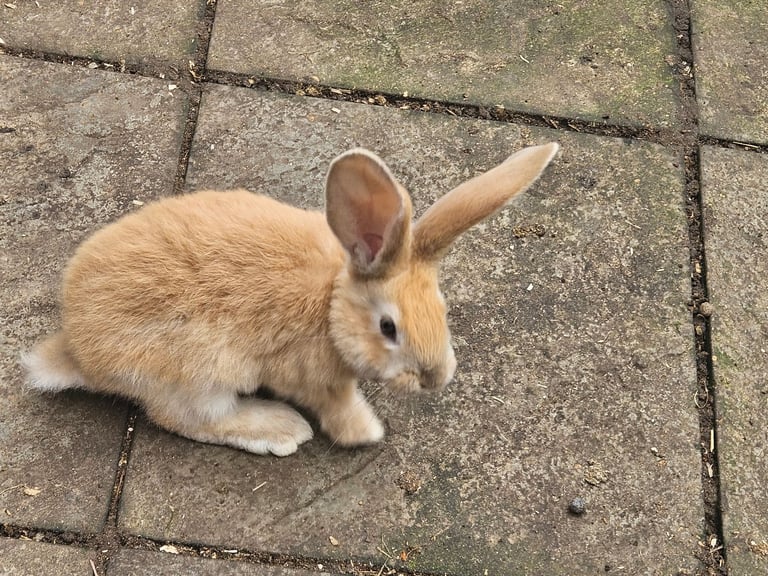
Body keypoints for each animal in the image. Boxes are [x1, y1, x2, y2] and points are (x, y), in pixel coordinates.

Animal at [21, 142, 560, 456]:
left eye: (442, 309)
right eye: (388, 327)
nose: (434, 379)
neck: (330, 303)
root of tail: (77, 351)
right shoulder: (315, 378)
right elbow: (338, 408)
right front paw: (367, 433)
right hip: (197, 372)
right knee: (188, 418)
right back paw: (280, 430)